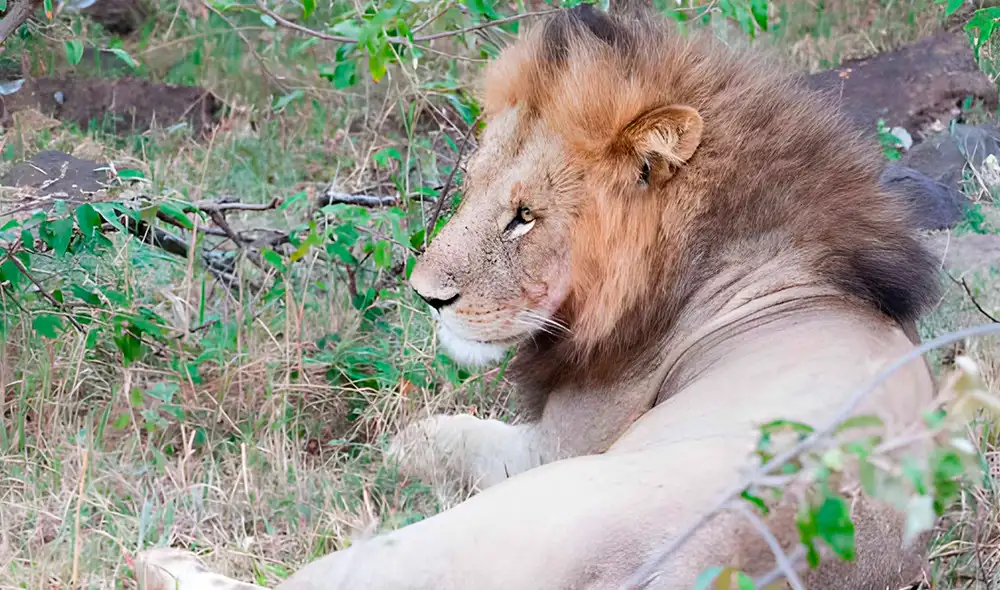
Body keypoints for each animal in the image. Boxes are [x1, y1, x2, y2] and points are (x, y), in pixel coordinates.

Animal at [134, 5, 943, 589]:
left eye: (524, 216)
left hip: (499, 517)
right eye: (473, 186)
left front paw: (396, 439)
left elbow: (425, 434)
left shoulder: (549, 446)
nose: (426, 297)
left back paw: (162, 558)